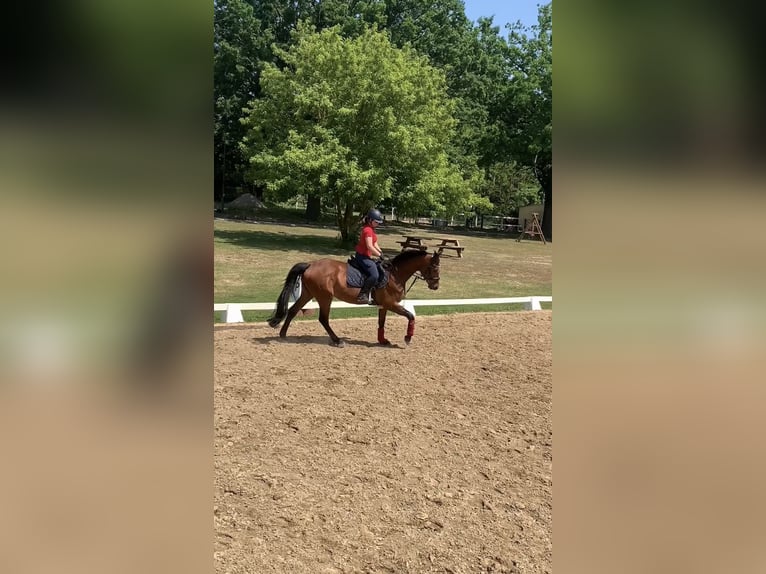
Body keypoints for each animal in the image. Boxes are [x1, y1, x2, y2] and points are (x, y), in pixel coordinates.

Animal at [267, 250, 441, 347]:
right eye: (434, 267)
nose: (436, 286)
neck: (395, 275)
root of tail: (310, 264)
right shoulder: (391, 304)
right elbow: (410, 316)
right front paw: (407, 338)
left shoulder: (384, 305)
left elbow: (381, 323)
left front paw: (382, 340)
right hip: (325, 297)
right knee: (323, 319)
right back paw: (337, 341)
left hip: (308, 294)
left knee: (292, 310)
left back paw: (283, 335)